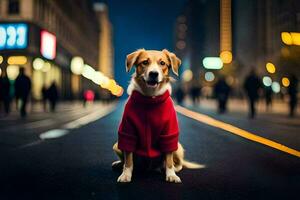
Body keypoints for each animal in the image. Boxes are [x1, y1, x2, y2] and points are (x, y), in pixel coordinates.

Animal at [112, 48, 204, 183]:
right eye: (145, 62)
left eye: (162, 63)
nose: (154, 73)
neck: (150, 98)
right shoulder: (128, 132)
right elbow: (128, 159)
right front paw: (126, 174)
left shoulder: (169, 134)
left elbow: (169, 158)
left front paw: (171, 175)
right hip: (117, 145)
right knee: (126, 159)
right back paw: (119, 164)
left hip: (178, 146)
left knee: (178, 163)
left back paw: (171, 169)